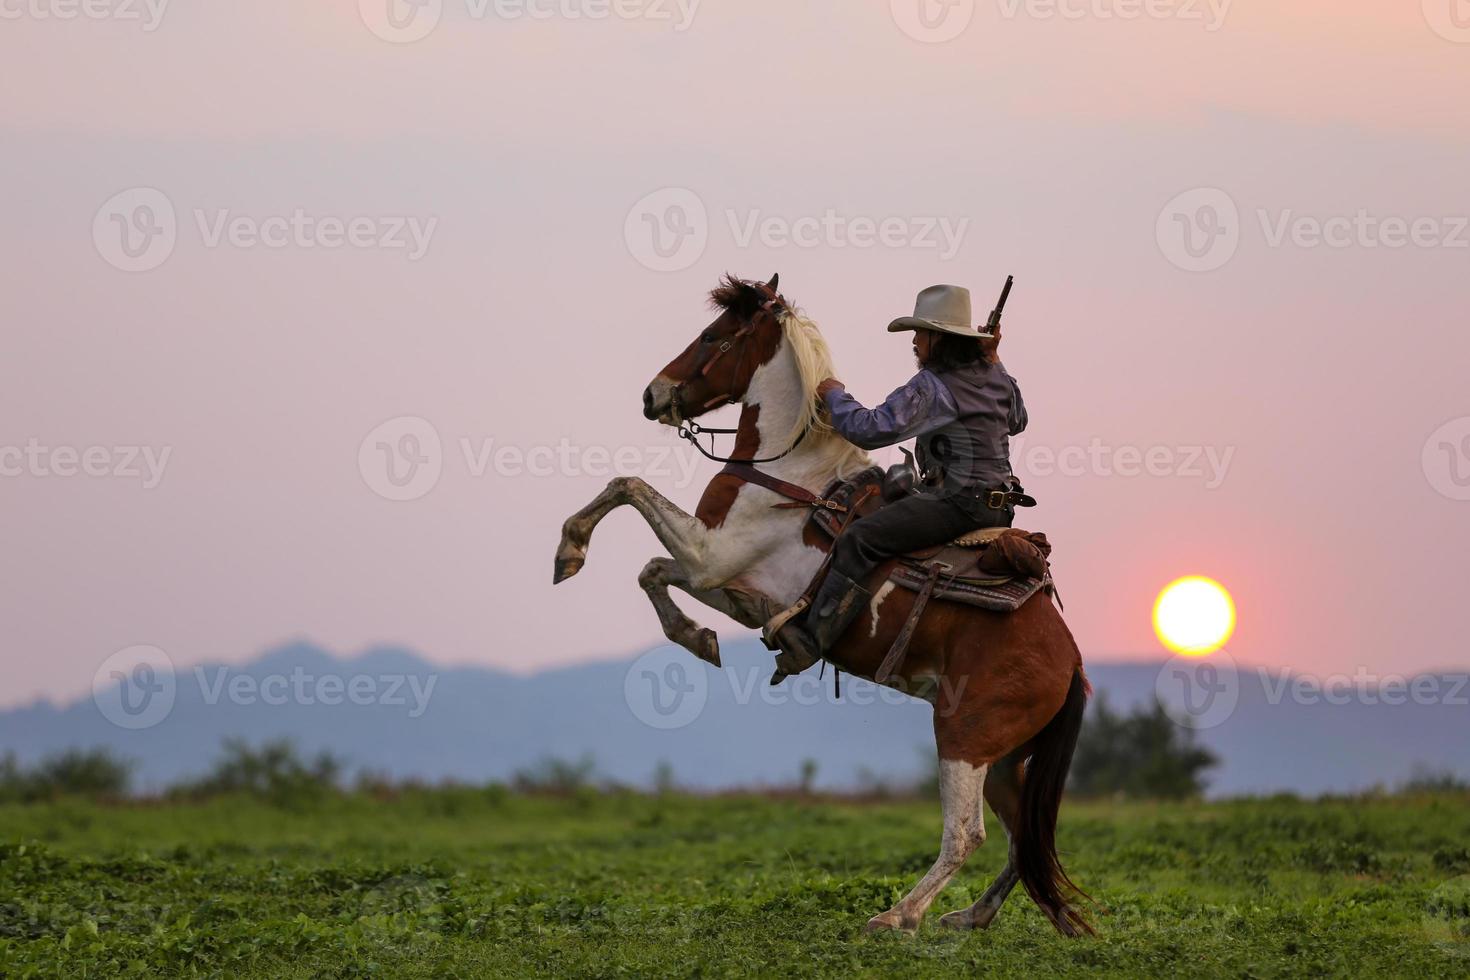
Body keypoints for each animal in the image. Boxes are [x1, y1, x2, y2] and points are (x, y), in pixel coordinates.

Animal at [555, 274, 1099, 934]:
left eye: (712, 335)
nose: (651, 394)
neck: (789, 471)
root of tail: (1071, 661)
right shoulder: (729, 582)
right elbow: (652, 571)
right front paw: (697, 637)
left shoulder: (709, 553)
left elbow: (627, 487)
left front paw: (570, 549)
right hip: (1004, 758)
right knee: (1027, 837)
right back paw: (972, 916)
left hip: (965, 737)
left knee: (968, 834)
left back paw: (897, 916)